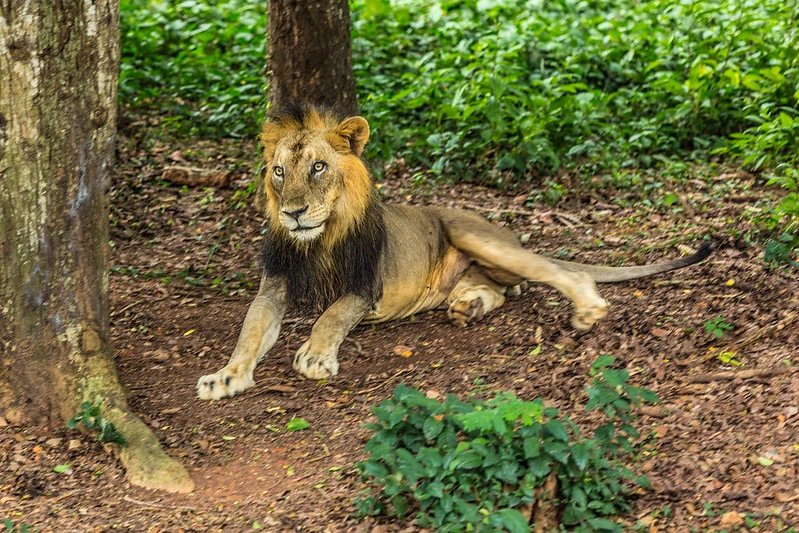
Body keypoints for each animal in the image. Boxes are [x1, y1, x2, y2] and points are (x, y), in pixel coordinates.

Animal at [197, 103, 716, 400]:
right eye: (279, 171)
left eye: (319, 167)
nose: (293, 213)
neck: (316, 242)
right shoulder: (275, 285)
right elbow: (250, 330)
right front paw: (226, 375)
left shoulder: (365, 287)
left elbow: (330, 316)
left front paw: (316, 356)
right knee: (502, 291)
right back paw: (469, 306)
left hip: (474, 234)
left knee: (555, 272)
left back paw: (587, 308)